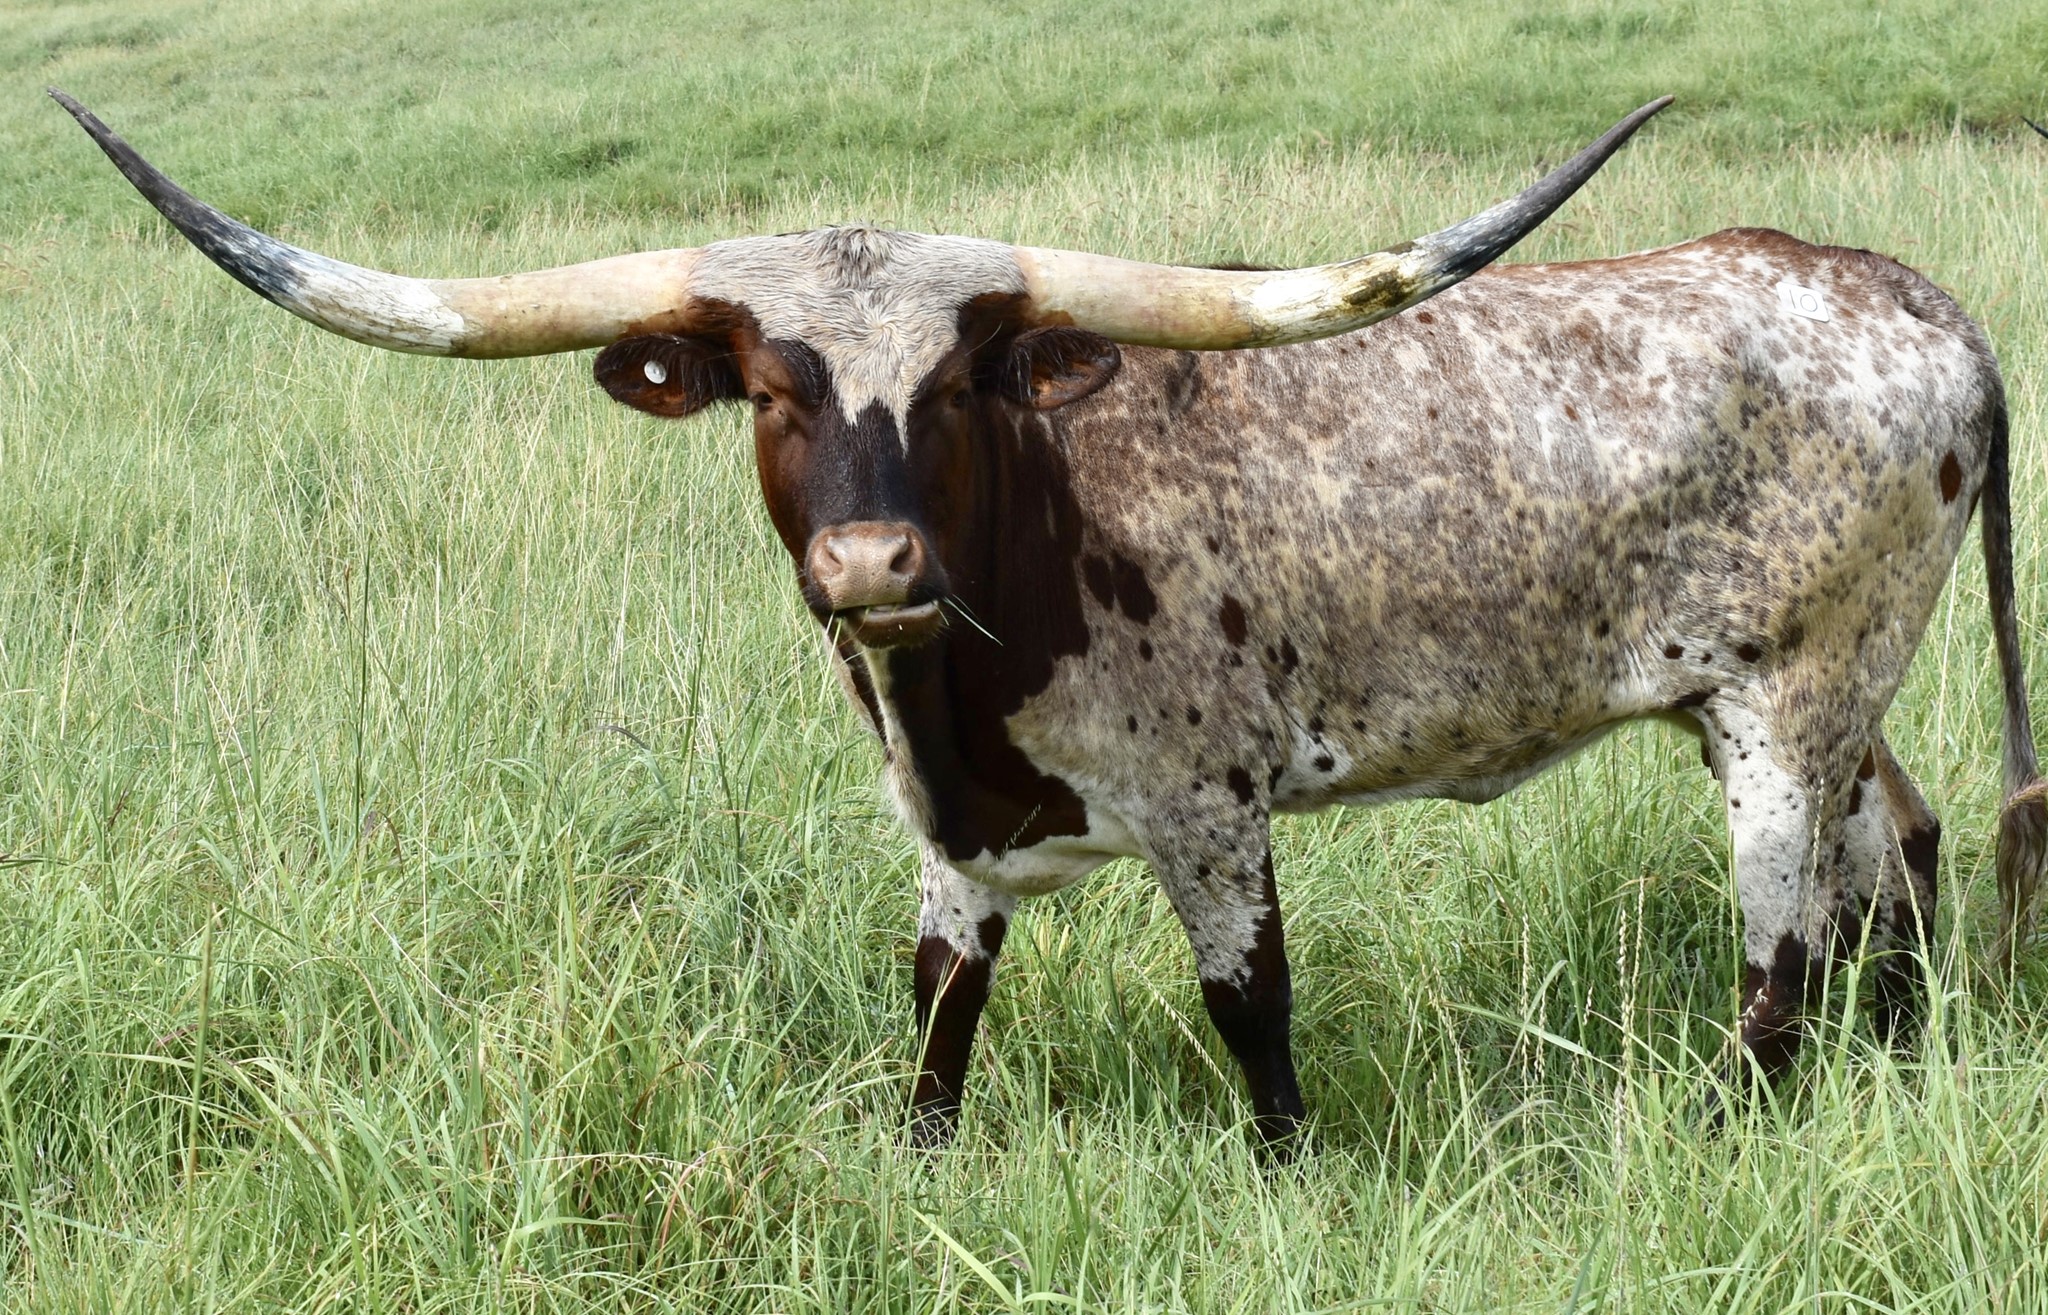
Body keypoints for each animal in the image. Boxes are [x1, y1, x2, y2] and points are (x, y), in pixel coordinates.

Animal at [56, 89, 2046, 1156]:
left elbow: (1252, 1014)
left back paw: (1740, 1112)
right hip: (1825, 699)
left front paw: (1288, 1179)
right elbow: (939, 1011)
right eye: (766, 388)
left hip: (1784, 710)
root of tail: (1916, 302)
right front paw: (919, 1167)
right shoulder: (944, 829)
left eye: (957, 385)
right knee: (1902, 853)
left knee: (1779, 960)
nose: (870, 566)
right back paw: (1896, 1059)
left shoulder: (1210, 810)